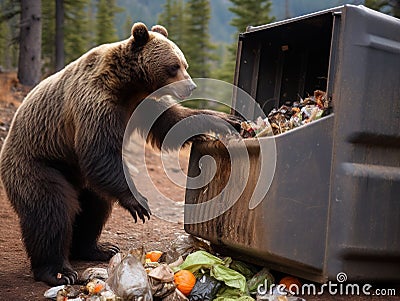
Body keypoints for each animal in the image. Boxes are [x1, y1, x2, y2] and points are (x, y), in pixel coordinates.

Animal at [0, 22, 241, 284]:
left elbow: (172, 122)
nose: (190, 86)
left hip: (79, 176)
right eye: (174, 66)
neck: (128, 85)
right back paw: (58, 271)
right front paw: (139, 203)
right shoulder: (96, 102)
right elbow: (100, 150)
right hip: (40, 162)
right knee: (52, 209)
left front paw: (225, 120)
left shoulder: (143, 103)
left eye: (184, 64)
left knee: (95, 207)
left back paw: (97, 248)